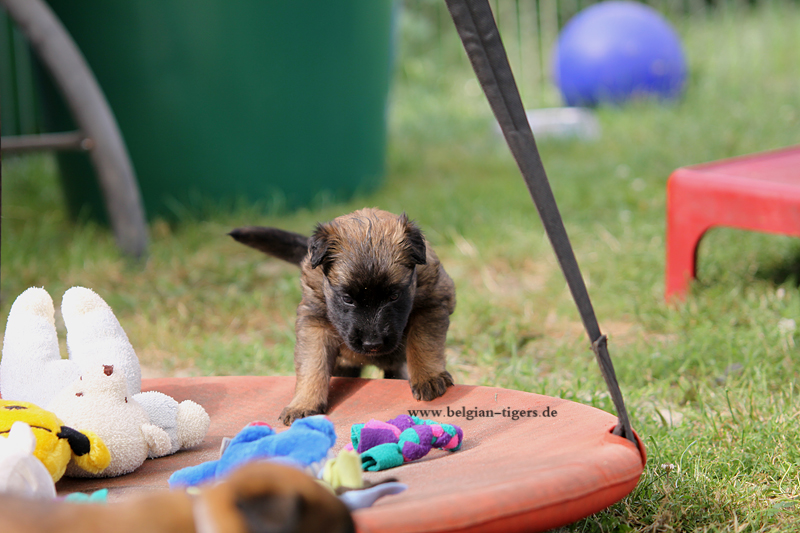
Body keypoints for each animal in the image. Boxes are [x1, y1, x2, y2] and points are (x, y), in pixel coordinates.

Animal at [229, 208, 456, 425]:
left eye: (394, 296)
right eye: (347, 298)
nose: (372, 344)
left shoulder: (431, 304)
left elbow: (423, 343)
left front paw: (428, 377)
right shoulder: (314, 323)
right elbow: (312, 364)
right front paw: (304, 403)